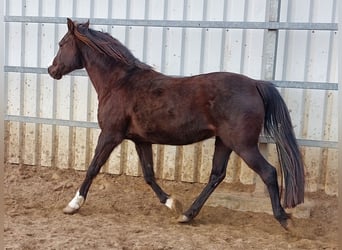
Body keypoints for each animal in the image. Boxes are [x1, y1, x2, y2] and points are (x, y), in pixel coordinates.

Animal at [48, 18, 304, 229]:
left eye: (62, 44)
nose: (52, 70)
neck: (119, 83)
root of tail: (255, 84)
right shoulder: (141, 140)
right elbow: (149, 175)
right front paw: (172, 203)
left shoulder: (110, 134)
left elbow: (93, 168)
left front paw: (73, 205)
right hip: (224, 142)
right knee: (216, 175)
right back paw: (187, 214)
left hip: (243, 145)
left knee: (268, 172)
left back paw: (284, 220)